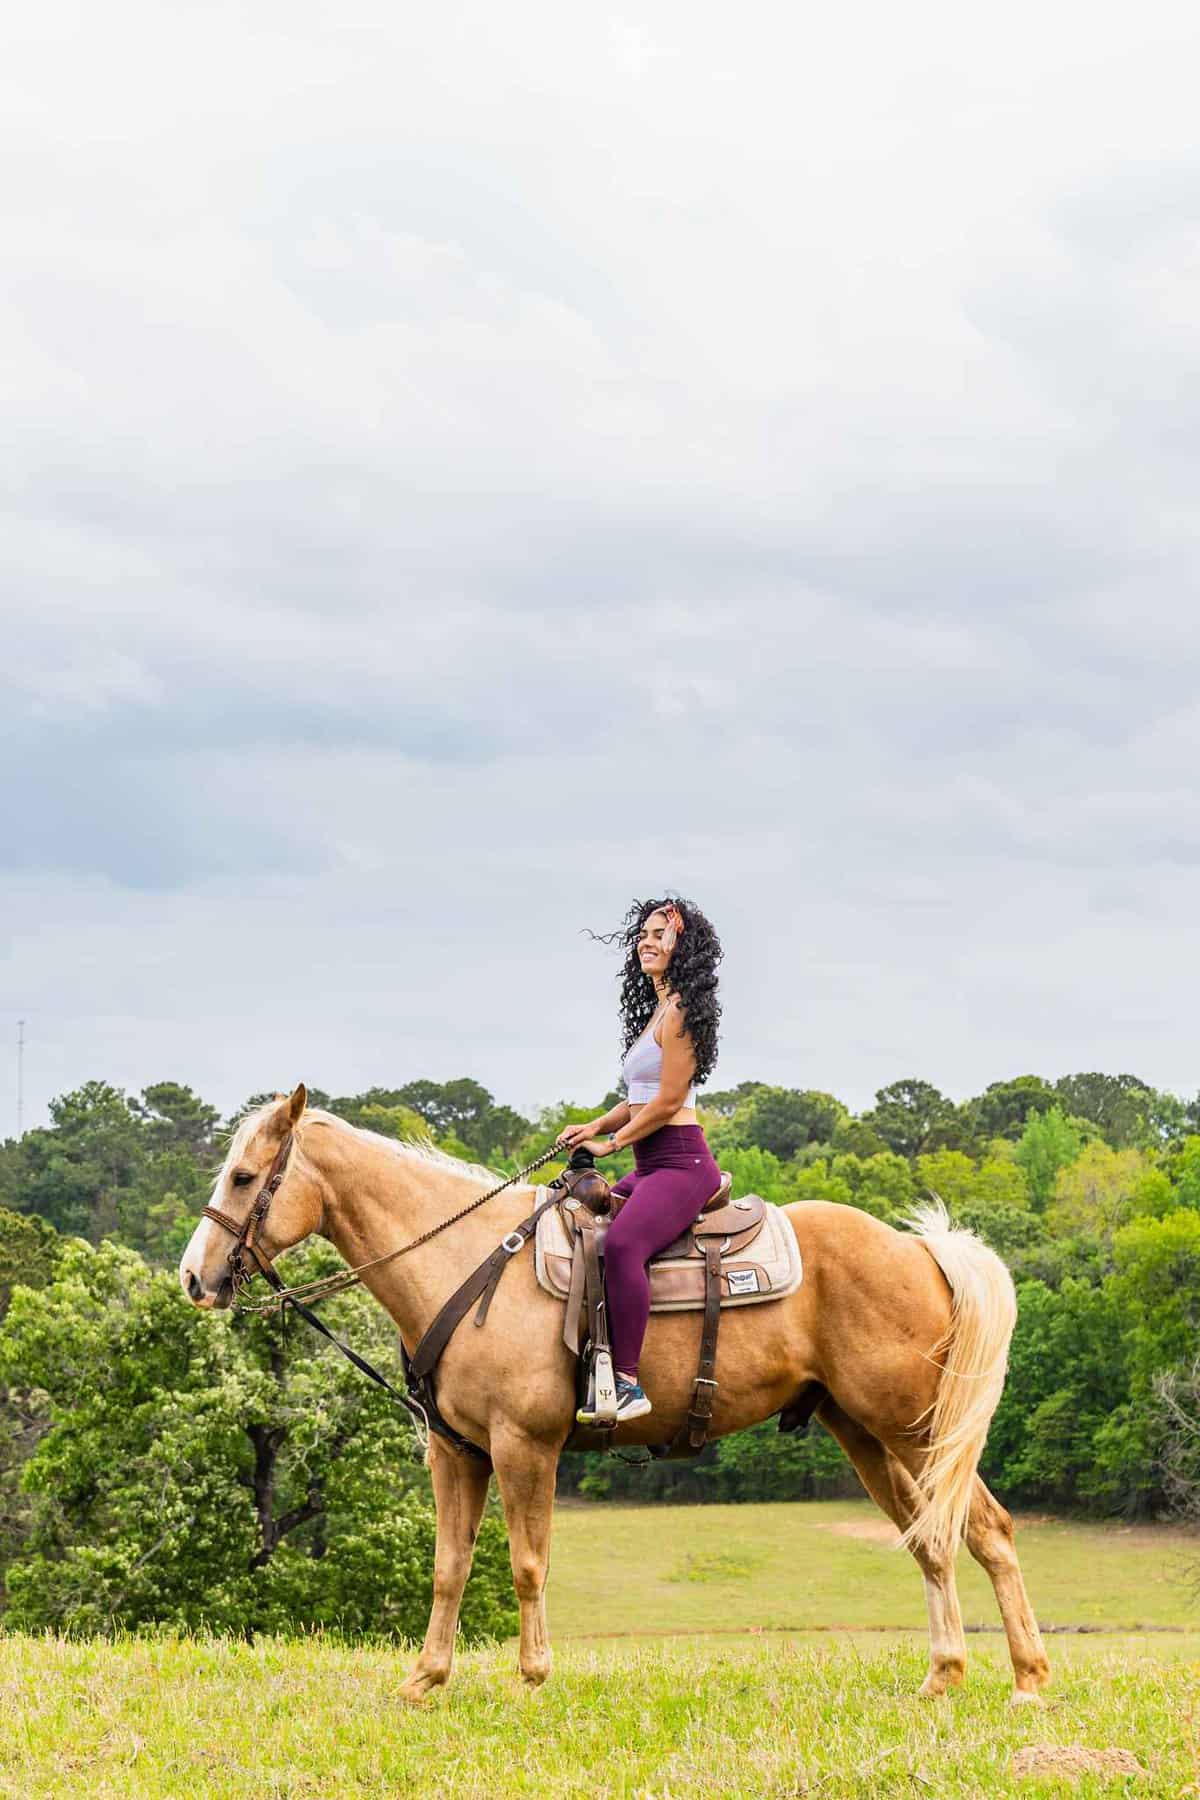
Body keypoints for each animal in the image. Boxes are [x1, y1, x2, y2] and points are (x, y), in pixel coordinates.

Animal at [180, 1087, 1050, 1706]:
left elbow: (526, 1563)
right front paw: (425, 1680)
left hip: (912, 1428)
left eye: (246, 1177)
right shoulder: (456, 1453)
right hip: (865, 1433)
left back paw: (1029, 1680)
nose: (193, 1277)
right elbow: (449, 1568)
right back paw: (943, 1675)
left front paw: (532, 1679)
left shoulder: (525, 1447)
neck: (468, 1261)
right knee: (930, 1541)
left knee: (989, 1531)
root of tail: (920, 1249)